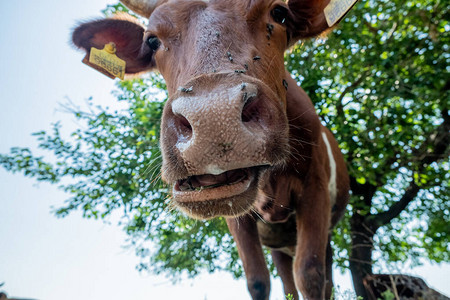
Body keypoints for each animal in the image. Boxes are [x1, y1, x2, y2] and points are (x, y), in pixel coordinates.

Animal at [71, 1, 352, 298]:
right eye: (152, 40)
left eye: (279, 13)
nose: (214, 118)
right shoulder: (238, 217)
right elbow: (258, 280)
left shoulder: (315, 187)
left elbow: (310, 274)